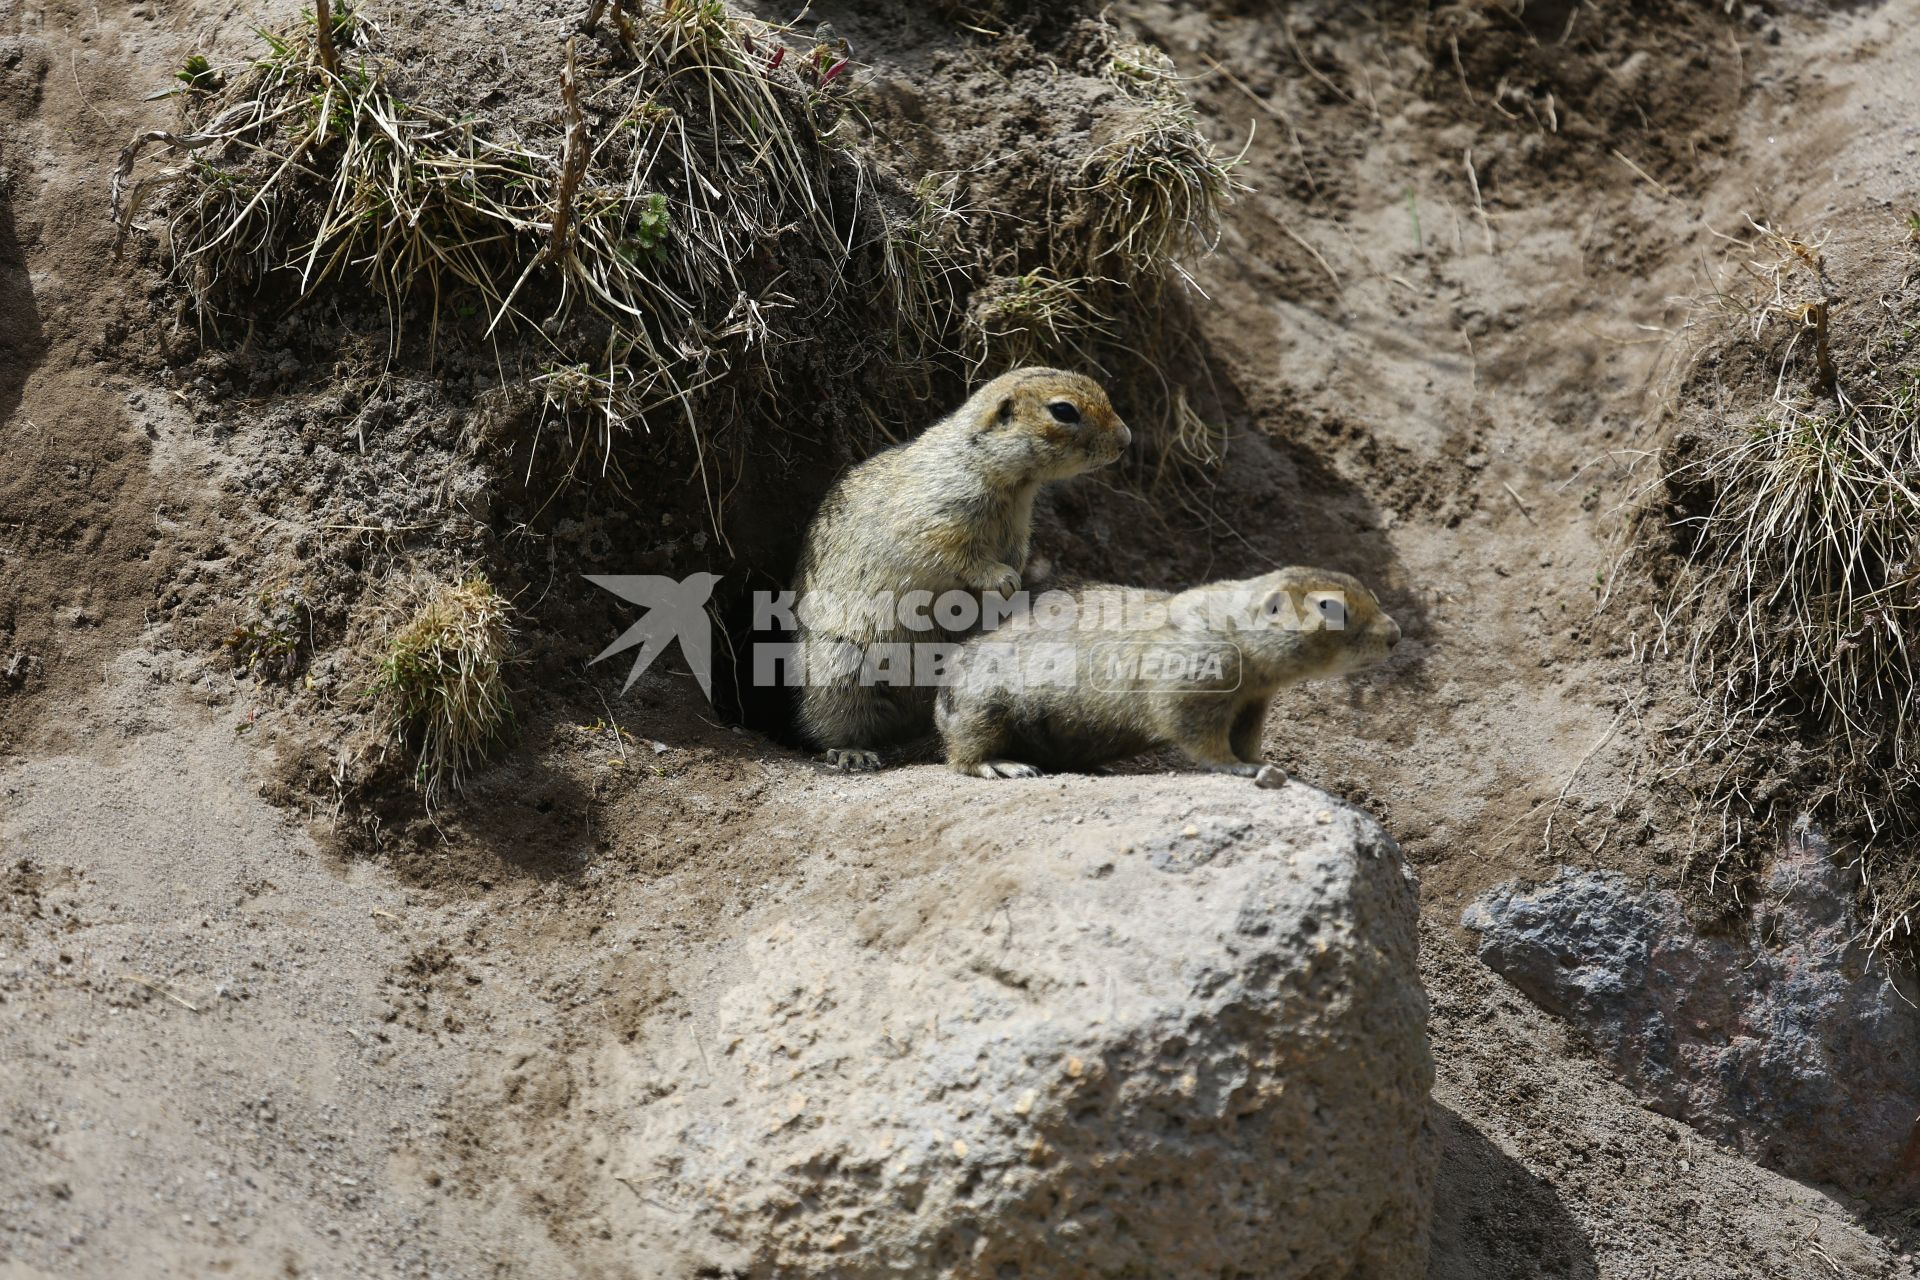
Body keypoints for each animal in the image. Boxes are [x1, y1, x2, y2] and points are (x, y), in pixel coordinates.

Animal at [791, 368, 1121, 771]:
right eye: (1064, 411)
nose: (1126, 439)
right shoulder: (938, 517)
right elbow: (955, 554)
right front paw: (1004, 580)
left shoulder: (1017, 530)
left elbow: (1012, 555)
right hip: (840, 667)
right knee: (833, 722)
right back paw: (854, 752)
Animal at [936, 568, 1405, 782]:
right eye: (1330, 607)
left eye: (1373, 592)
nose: (1396, 635)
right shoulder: (1196, 674)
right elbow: (1196, 729)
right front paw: (1237, 768)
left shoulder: (1254, 701)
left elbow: (1247, 735)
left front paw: (1260, 761)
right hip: (983, 708)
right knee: (963, 755)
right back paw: (1006, 766)